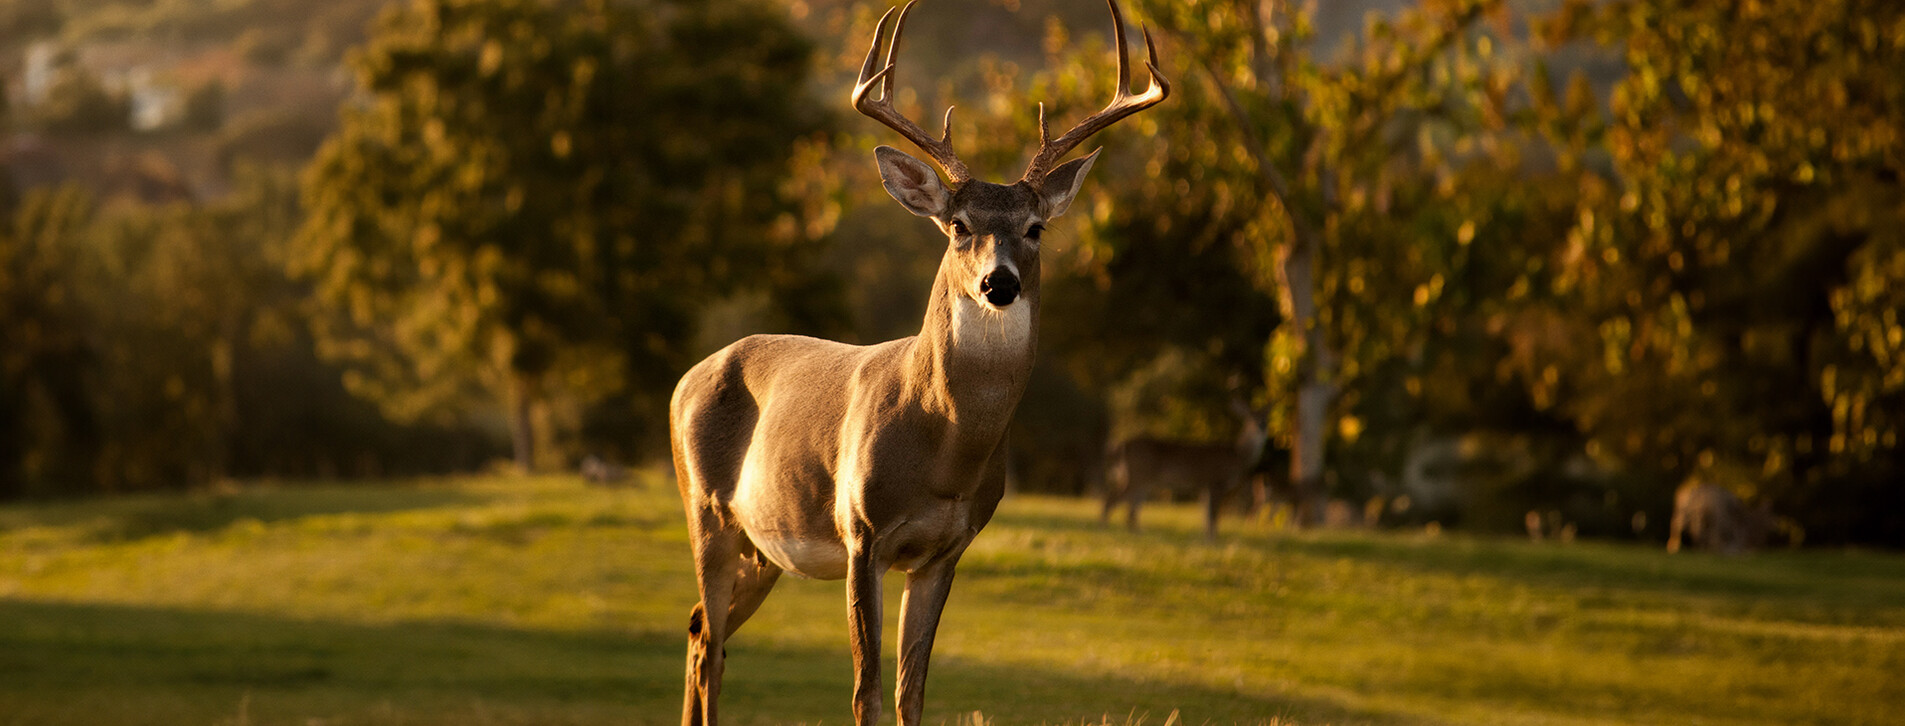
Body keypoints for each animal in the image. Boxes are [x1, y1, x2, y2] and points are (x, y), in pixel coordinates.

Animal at [670, 2, 1165, 720]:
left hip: (764, 547)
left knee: (699, 632)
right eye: (959, 225)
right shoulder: (861, 533)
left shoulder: (945, 551)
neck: (944, 448)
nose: (998, 283)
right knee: (708, 641)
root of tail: (686, 378)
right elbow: (866, 690)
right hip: (706, 509)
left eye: (1035, 227)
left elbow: (912, 691)